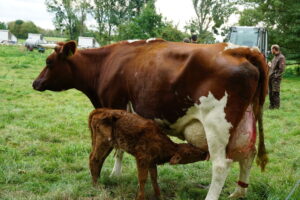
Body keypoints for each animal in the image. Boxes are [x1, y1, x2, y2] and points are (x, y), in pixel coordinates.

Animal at [33, 38, 270, 198]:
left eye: (49, 61)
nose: (35, 83)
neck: (107, 63)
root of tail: (241, 49)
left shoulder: (115, 105)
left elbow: (118, 148)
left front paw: (115, 173)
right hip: (245, 121)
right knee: (248, 155)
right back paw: (238, 193)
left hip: (217, 124)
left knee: (221, 165)